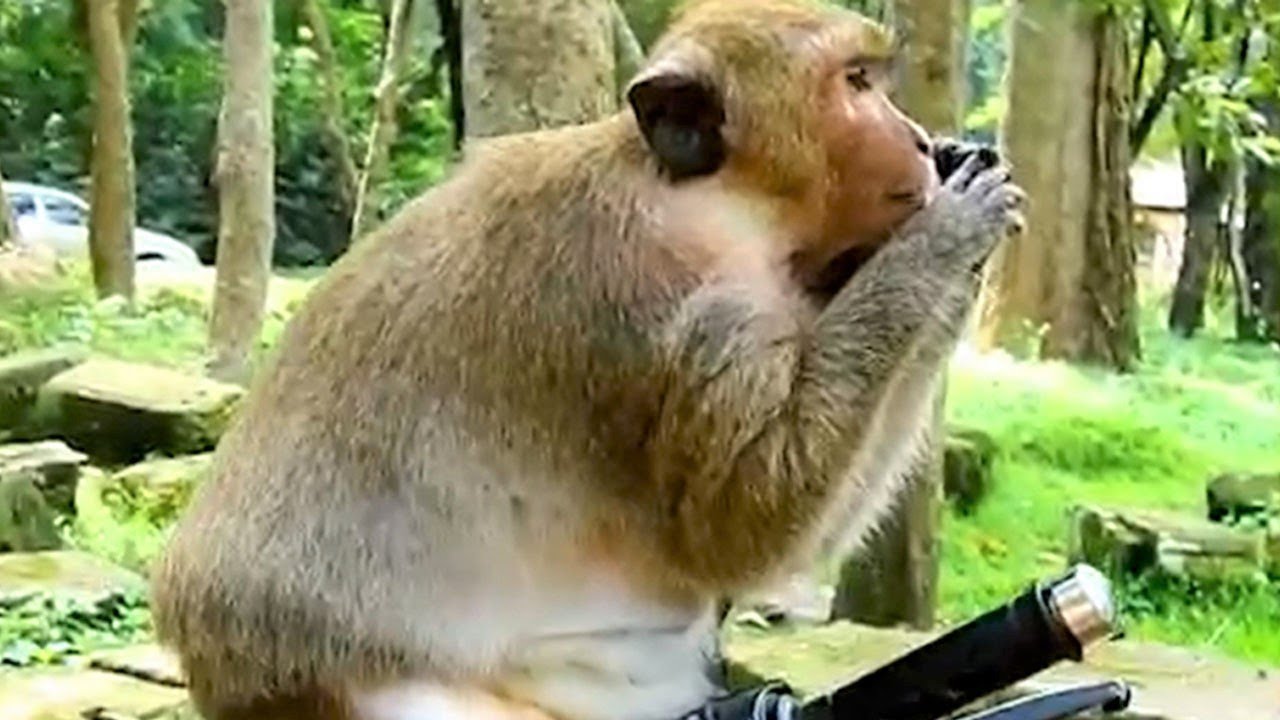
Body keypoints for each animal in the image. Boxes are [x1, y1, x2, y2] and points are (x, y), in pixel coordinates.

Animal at [150, 1, 1023, 719]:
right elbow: (741, 528)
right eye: (856, 83)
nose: (918, 140)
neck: (710, 199)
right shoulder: (687, 308)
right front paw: (948, 233)